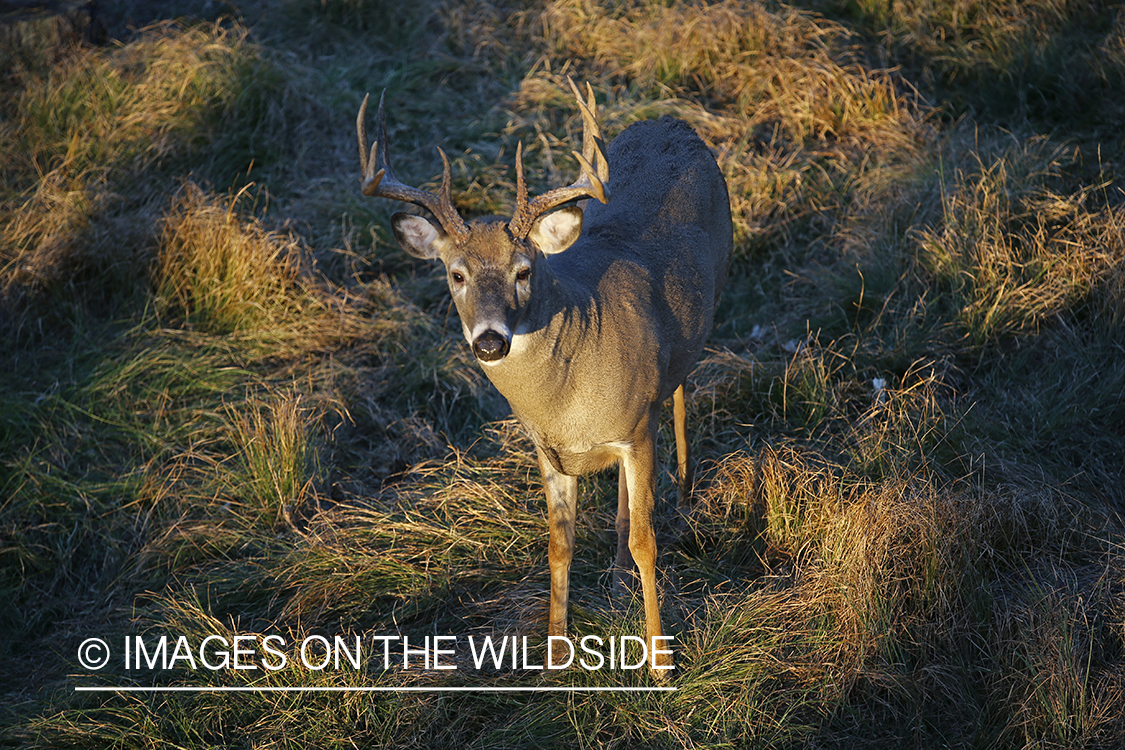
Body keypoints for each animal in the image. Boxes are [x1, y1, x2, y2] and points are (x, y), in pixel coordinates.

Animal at [355, 82, 733, 674]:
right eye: (455, 274)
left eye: (523, 271)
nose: (490, 341)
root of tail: (672, 121)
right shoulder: (550, 449)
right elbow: (561, 542)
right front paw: (555, 651)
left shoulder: (635, 432)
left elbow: (647, 541)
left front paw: (660, 660)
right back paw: (618, 578)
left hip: (700, 319)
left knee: (678, 390)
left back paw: (688, 485)